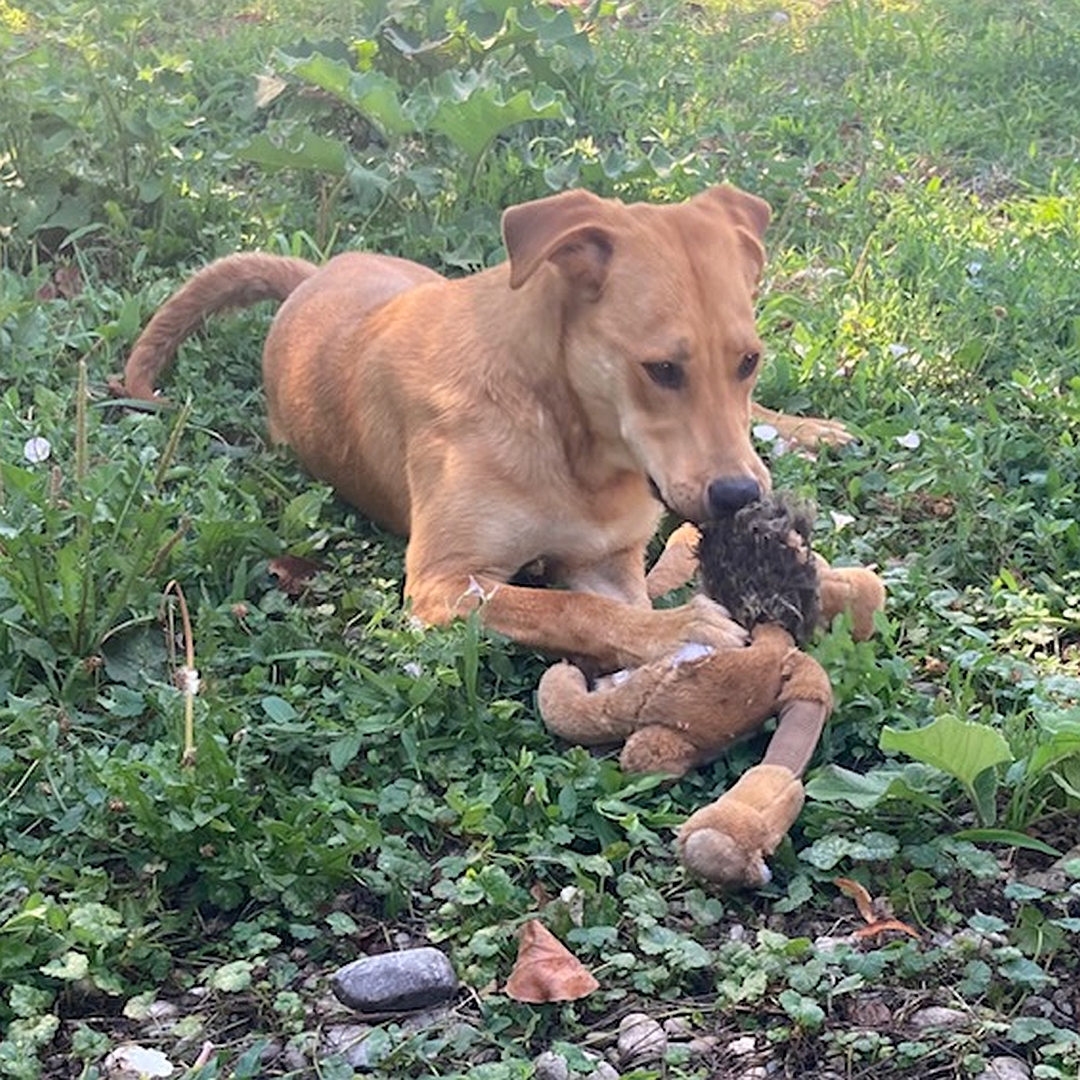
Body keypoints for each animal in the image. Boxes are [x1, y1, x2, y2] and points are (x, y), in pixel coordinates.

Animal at [118, 187, 842, 673]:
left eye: (748, 362)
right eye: (661, 369)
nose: (742, 497)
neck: (574, 441)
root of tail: (313, 276)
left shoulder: (607, 558)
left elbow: (613, 605)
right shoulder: (443, 581)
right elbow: (570, 609)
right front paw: (678, 631)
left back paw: (811, 429)